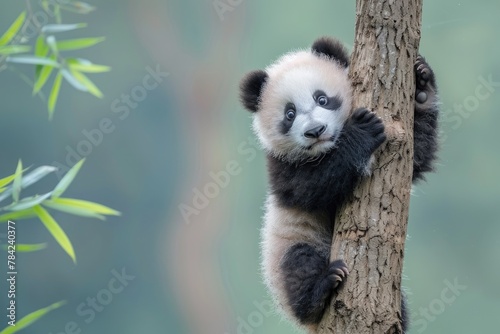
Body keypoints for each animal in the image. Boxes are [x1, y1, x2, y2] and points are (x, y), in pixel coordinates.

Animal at [238, 36, 438, 332]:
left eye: (322, 98)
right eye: (289, 114)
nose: (315, 131)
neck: (324, 150)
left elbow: (417, 157)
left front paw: (422, 86)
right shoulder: (280, 167)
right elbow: (312, 188)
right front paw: (362, 133)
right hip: (289, 246)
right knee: (298, 264)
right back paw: (319, 290)